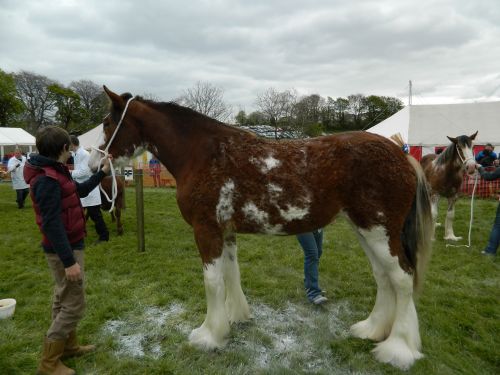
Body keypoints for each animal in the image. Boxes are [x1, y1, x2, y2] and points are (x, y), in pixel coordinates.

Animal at [90, 87, 434, 370]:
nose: (96, 167)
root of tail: (403, 157)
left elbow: (212, 281)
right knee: (384, 278)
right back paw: (372, 330)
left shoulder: (206, 230)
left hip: (378, 230)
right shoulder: (225, 232)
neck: (203, 154)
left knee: (402, 278)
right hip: (366, 230)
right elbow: (231, 274)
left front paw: (208, 335)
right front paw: (234, 319)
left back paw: (398, 349)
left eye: (107, 123)